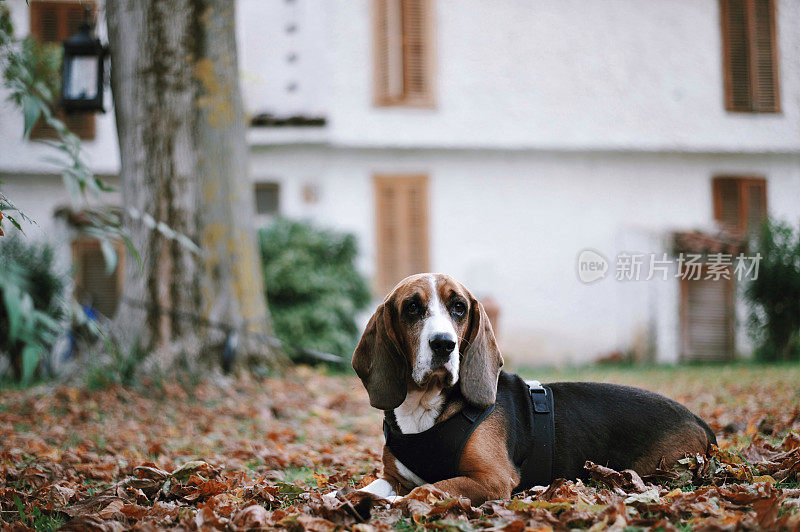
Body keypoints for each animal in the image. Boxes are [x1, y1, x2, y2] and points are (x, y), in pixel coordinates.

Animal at [354, 274, 716, 508]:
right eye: (412, 308)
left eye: (458, 307)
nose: (444, 344)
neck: (425, 406)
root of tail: (699, 420)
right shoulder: (393, 475)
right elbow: (373, 485)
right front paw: (352, 497)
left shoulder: (491, 479)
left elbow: (425, 490)